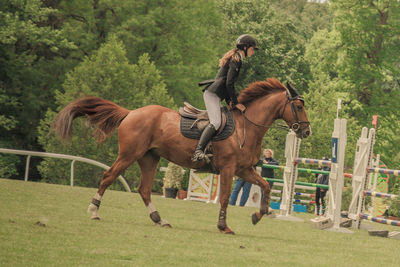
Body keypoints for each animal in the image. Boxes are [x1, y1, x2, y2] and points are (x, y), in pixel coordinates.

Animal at [53, 77, 310, 234]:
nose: (306, 131)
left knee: (144, 189)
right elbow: (225, 197)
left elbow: (265, 186)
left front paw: (258, 215)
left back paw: (160, 219)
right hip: (129, 154)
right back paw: (94, 211)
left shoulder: (244, 170)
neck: (246, 126)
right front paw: (223, 226)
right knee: (108, 177)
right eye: (298, 106)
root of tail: (131, 113)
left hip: (149, 158)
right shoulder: (228, 169)